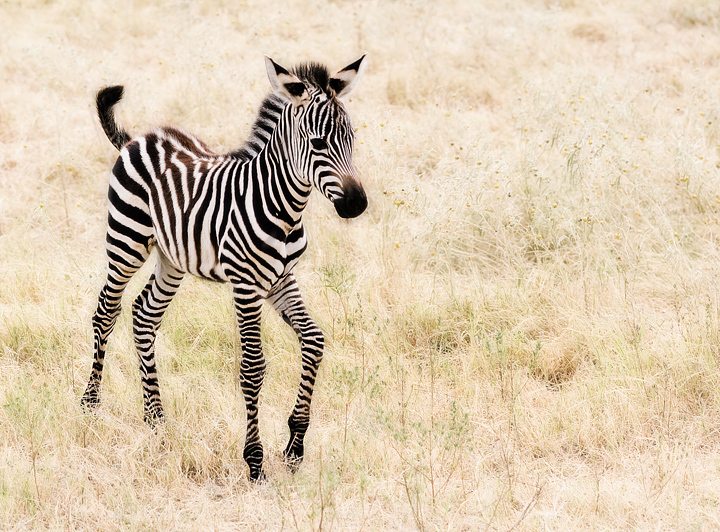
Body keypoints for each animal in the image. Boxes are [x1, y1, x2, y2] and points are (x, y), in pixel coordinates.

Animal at [81, 55, 368, 482]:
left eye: (351, 138)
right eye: (318, 143)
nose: (357, 204)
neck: (283, 208)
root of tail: (139, 138)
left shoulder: (281, 279)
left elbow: (314, 342)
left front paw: (295, 445)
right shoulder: (246, 285)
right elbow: (253, 367)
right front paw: (255, 461)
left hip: (172, 258)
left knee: (144, 315)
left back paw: (156, 420)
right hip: (127, 240)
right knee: (106, 311)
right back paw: (90, 404)